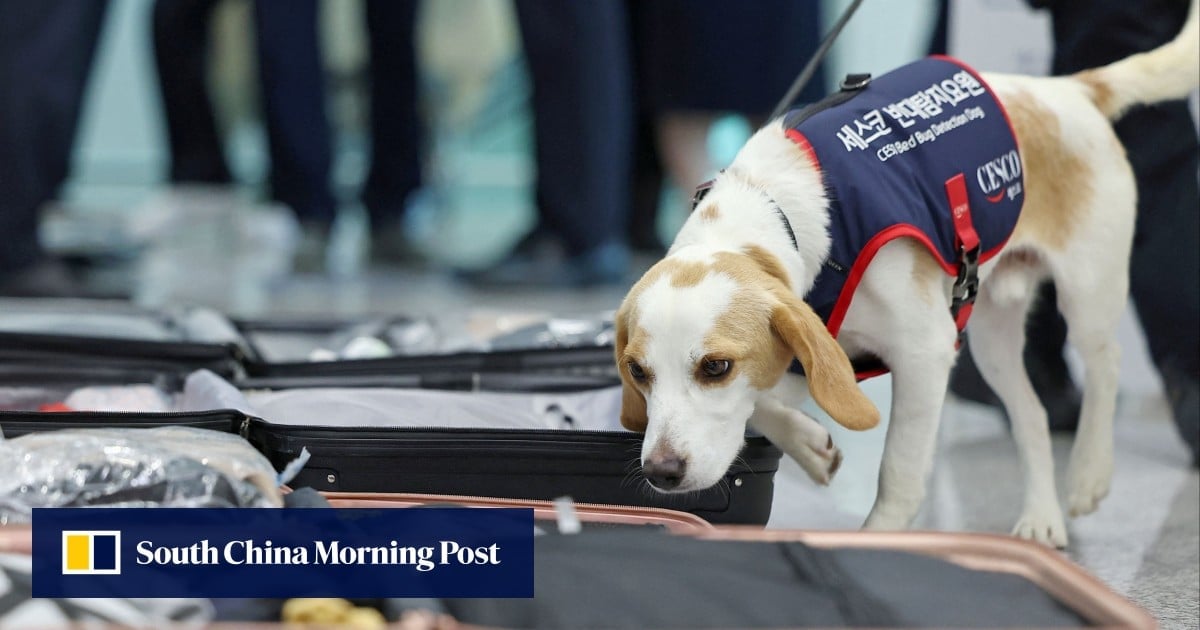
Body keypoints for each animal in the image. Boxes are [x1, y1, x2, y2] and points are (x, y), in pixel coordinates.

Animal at [619, 2, 1200, 544]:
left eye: (715, 367)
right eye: (638, 373)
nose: (661, 472)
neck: (773, 207)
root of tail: (1067, 90)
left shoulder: (924, 351)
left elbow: (899, 470)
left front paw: (881, 537)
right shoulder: (808, 351)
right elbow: (761, 405)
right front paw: (809, 445)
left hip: (1087, 293)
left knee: (1106, 367)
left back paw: (1088, 475)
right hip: (989, 336)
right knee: (1032, 416)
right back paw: (1041, 518)